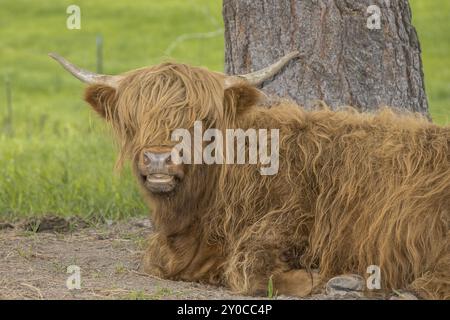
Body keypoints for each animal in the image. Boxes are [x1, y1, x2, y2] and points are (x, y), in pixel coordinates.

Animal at [51, 52, 450, 300]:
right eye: (134, 118)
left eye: (202, 119)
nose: (160, 159)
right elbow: (160, 262)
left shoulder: (296, 214)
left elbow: (247, 267)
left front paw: (314, 277)